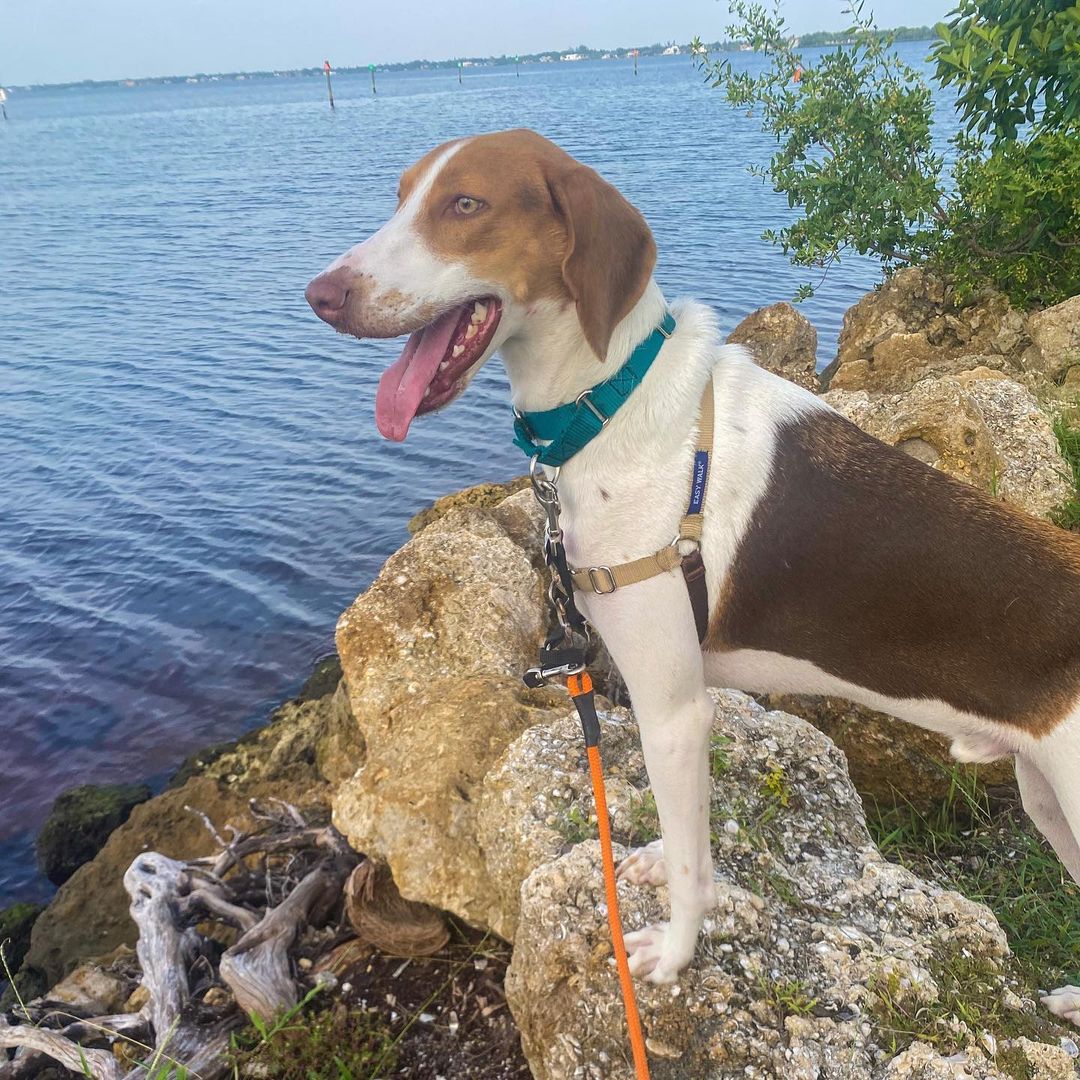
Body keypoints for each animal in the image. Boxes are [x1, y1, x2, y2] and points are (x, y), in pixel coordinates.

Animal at [304, 126, 1080, 1019]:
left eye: (466, 204)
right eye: (401, 196)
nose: (319, 295)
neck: (609, 402)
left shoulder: (673, 706)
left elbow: (687, 866)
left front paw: (674, 958)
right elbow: (686, 846)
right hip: (1045, 801)